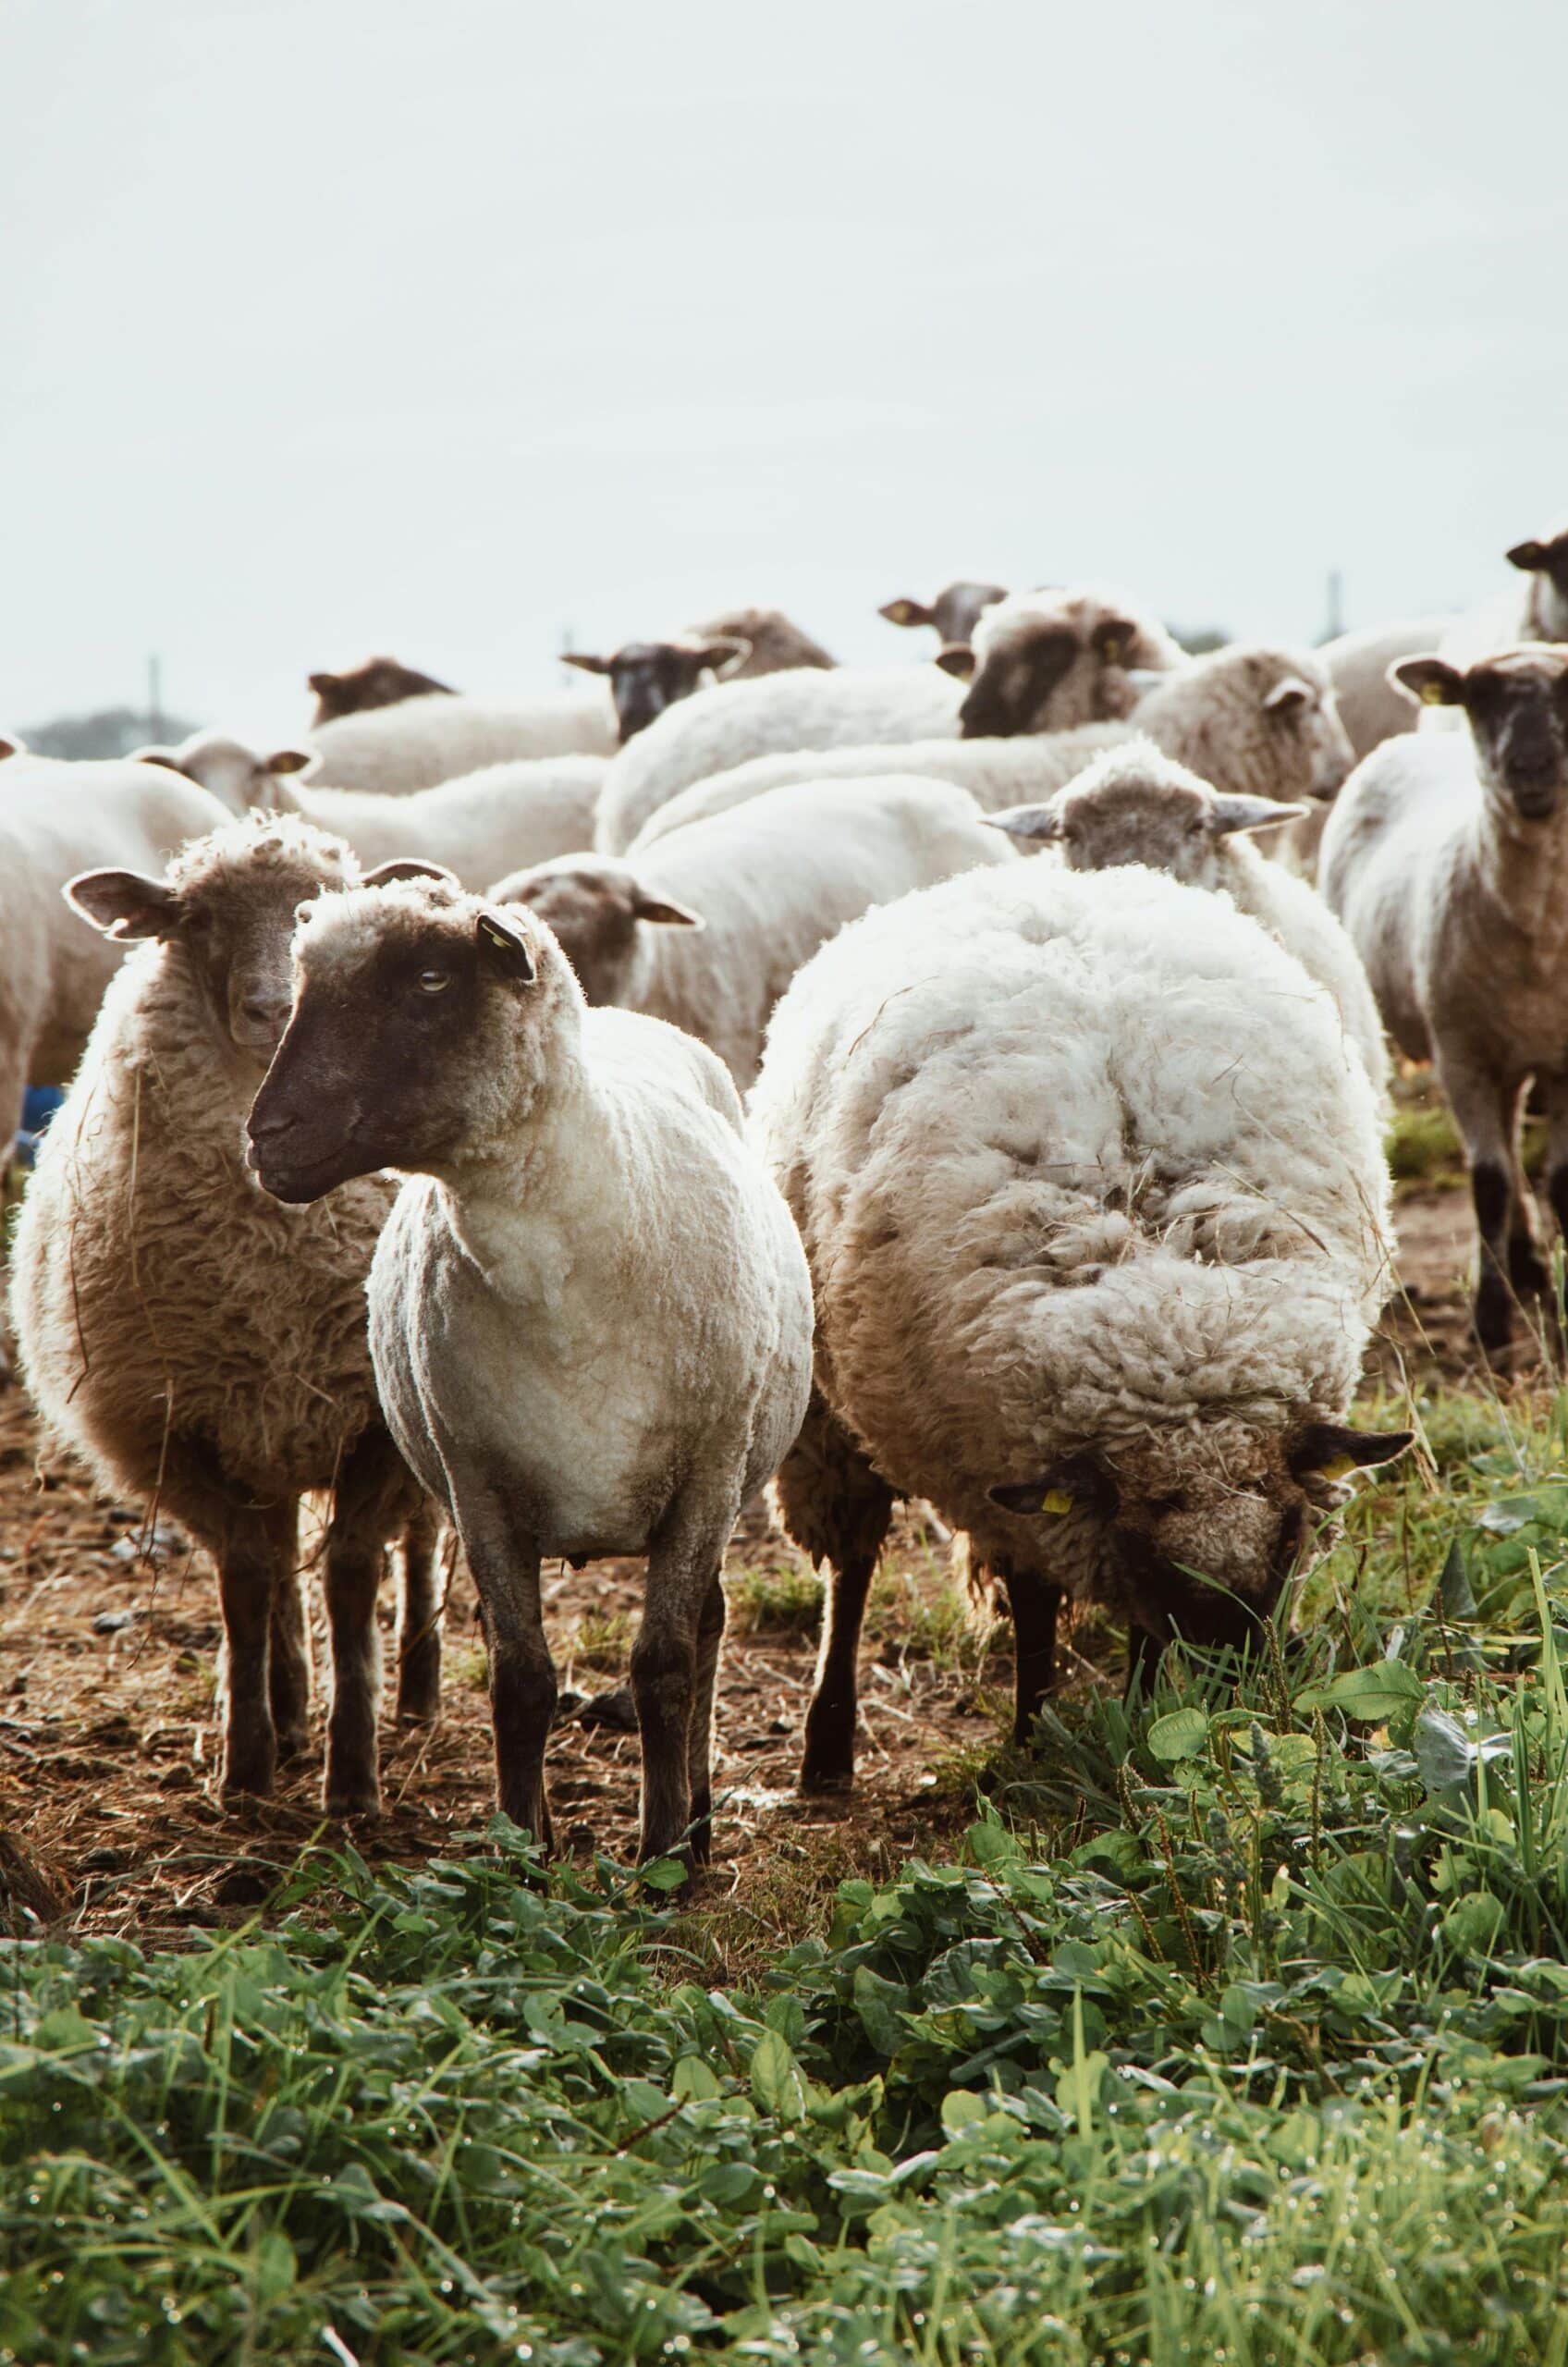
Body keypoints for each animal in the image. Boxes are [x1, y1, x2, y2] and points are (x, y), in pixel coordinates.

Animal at [7, 815, 441, 1812]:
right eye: (194, 919)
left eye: (333, 911)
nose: (273, 1007)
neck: (271, 1255)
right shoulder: (183, 1421)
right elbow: (246, 1579)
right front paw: (247, 1761)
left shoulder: (378, 1422)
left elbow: (353, 1573)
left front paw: (352, 1777)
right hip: (260, 1422)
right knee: (278, 1554)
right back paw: (287, 1705)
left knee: (420, 1539)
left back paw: (418, 1687)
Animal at [245, 877, 813, 1871]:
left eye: (431, 979)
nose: (265, 1135)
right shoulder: (479, 1485)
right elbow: (521, 1678)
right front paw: (523, 1847)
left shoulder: (706, 1472)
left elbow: (665, 1662)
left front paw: (664, 1855)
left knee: (707, 1629)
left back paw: (700, 1821)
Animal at [748, 859, 1407, 1791]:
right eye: (1153, 1553)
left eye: (1287, 1538)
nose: (1230, 1688)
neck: (1172, 1311)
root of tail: (1040, 877)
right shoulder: (1012, 1483)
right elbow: (1033, 1610)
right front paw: (1033, 1734)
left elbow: (1132, 1633)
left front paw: (1142, 1723)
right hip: (825, 1416)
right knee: (852, 1564)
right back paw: (828, 1747)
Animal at [1321, 643, 1568, 1358]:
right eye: (1479, 697)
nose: (1532, 768)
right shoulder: (1461, 1054)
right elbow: (1488, 1181)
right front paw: (1490, 1322)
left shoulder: (1563, 1057)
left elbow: (1561, 1180)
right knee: (1505, 1156)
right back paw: (1523, 1268)